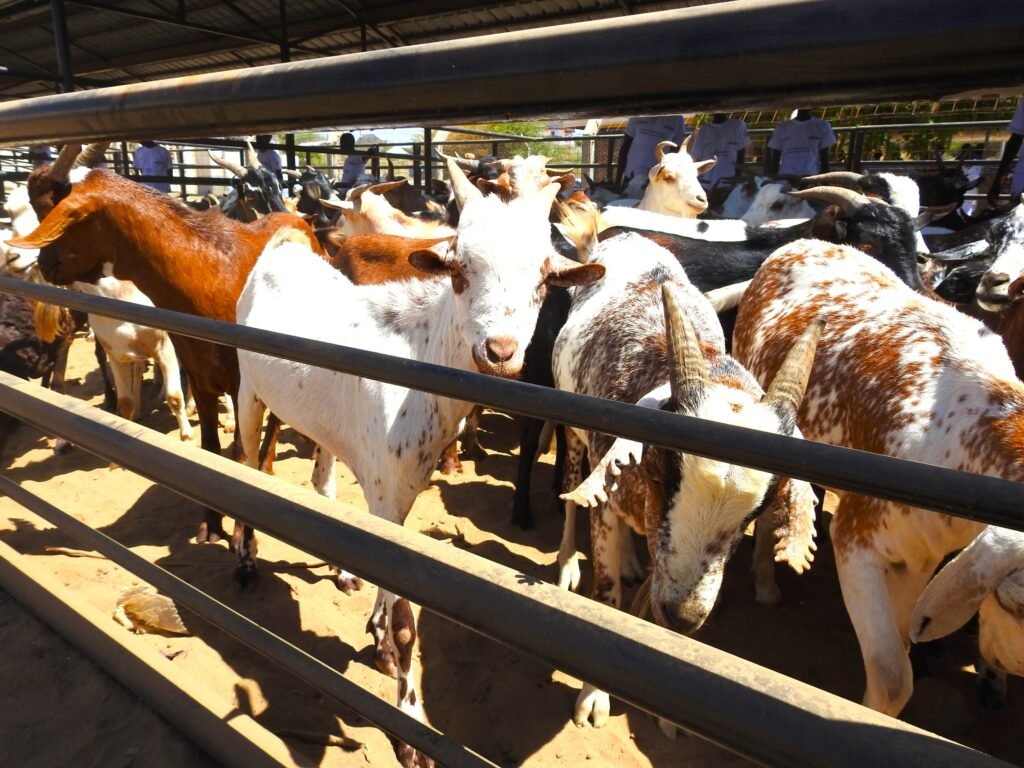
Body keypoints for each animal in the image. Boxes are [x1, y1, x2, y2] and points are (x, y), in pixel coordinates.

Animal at [9, 152, 322, 546]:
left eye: (48, 208)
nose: (44, 265)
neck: (211, 270)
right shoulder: (200, 377)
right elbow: (210, 448)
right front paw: (211, 525)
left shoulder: (240, 384)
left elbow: (239, 454)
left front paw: (241, 536)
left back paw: (268, 466)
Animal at [234, 158, 604, 768]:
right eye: (459, 270)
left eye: (543, 279)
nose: (500, 351)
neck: (420, 357)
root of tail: (285, 243)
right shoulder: (386, 488)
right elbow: (409, 625)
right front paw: (410, 728)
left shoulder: (400, 489)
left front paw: (379, 638)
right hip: (247, 387)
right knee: (244, 459)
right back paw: (244, 561)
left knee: (322, 474)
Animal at [551, 227, 820, 732]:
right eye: (661, 474)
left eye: (758, 511)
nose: (684, 615)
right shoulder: (607, 502)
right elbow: (607, 597)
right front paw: (593, 697)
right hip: (574, 431)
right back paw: (566, 563)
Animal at [732, 239, 1024, 716]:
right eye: (1015, 602)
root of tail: (804, 242)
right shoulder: (858, 540)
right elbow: (891, 676)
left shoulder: (921, 555)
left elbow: (905, 642)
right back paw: (764, 579)